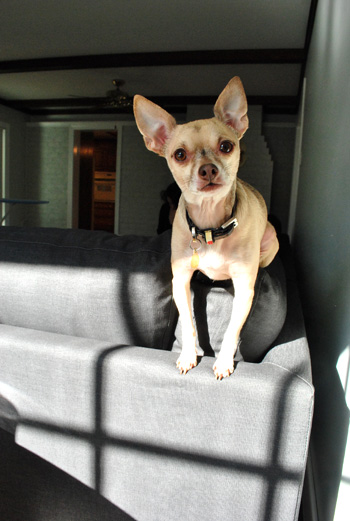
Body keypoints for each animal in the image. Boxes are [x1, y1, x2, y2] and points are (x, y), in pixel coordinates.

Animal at [134, 76, 278, 378]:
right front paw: (189, 354)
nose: (208, 169)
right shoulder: (180, 282)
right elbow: (188, 324)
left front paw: (223, 361)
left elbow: (232, 330)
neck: (211, 227)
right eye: (179, 154)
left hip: (271, 242)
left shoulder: (243, 290)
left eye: (226, 147)